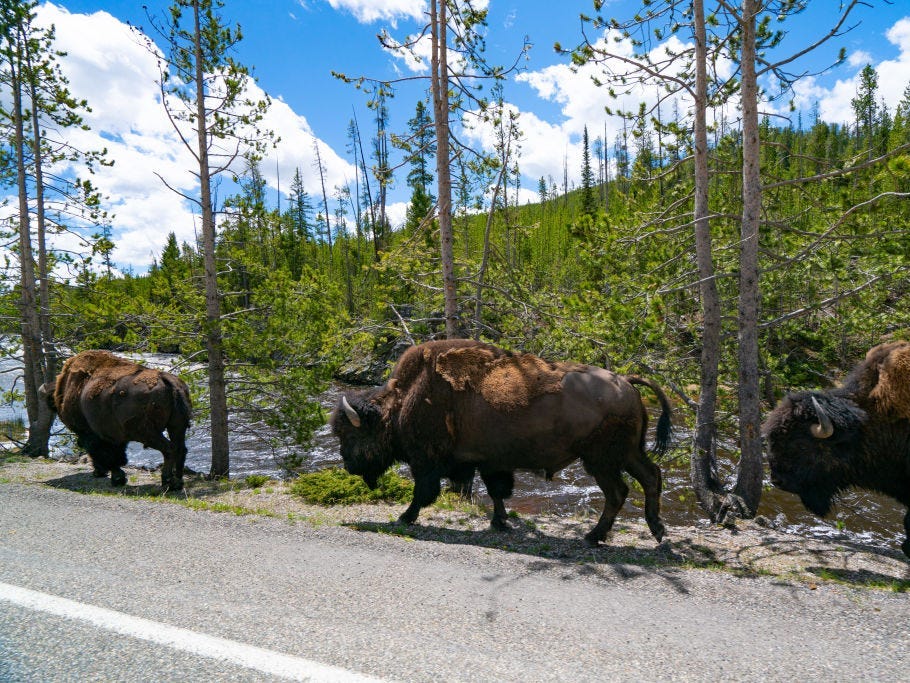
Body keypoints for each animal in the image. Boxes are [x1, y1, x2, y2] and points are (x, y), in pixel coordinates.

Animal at [41, 352, 195, 492]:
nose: (98, 473)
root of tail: (167, 380)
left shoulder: (93, 434)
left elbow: (108, 455)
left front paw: (117, 479)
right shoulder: (116, 436)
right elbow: (117, 455)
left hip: (148, 433)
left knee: (169, 449)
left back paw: (167, 482)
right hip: (177, 426)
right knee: (181, 449)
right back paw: (178, 482)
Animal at [332, 340, 672, 548]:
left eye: (351, 434)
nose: (347, 465)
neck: (403, 400)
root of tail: (626, 381)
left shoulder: (427, 462)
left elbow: (423, 493)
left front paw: (405, 517)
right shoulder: (490, 462)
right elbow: (497, 493)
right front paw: (500, 523)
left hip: (601, 461)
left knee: (618, 492)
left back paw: (594, 535)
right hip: (628, 454)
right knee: (650, 477)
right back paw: (656, 530)